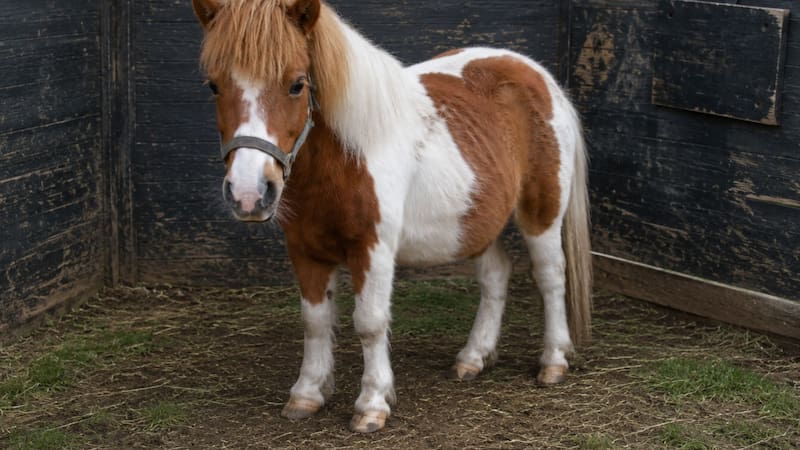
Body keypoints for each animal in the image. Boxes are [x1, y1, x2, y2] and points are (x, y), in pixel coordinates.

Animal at [191, 0, 592, 433]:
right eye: (214, 86)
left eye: (297, 84)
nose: (248, 195)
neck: (346, 156)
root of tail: (538, 75)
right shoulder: (304, 249)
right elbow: (315, 322)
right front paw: (307, 394)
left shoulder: (373, 249)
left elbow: (369, 322)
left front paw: (372, 404)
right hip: (476, 222)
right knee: (496, 274)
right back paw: (473, 358)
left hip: (542, 212)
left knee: (550, 276)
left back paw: (553, 361)